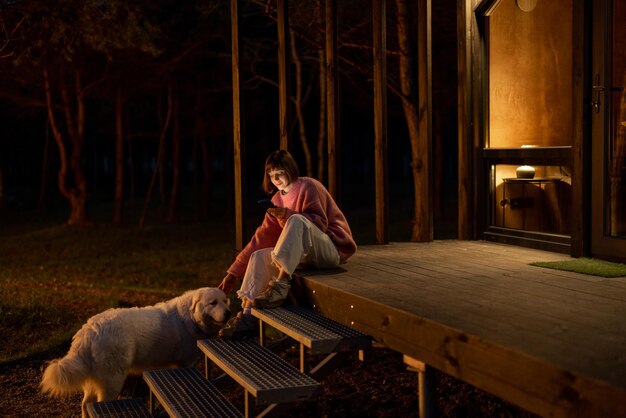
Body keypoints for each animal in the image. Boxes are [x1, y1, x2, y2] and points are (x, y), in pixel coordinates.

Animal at [42, 288, 232, 418]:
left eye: (225, 301)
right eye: (213, 303)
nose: (229, 313)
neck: (192, 319)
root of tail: (89, 329)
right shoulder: (185, 364)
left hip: (96, 379)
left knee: (85, 404)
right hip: (113, 379)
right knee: (100, 403)